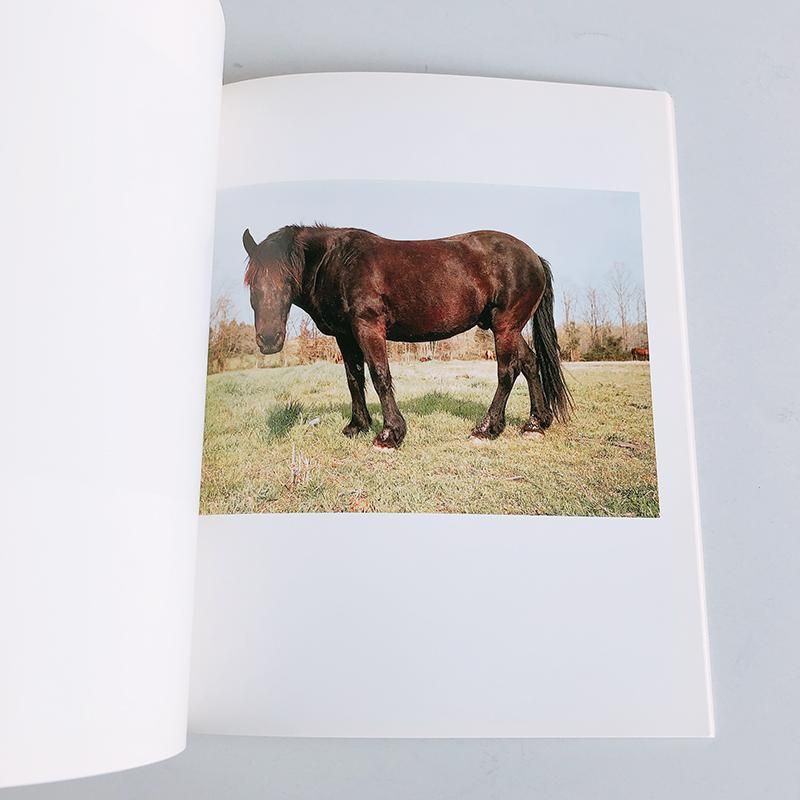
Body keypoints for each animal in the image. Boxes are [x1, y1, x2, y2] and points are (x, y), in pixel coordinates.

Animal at [243, 224, 573, 449]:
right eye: (252, 283)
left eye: (287, 279)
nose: (268, 340)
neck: (338, 263)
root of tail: (533, 256)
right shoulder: (346, 336)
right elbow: (354, 378)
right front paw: (357, 425)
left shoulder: (368, 327)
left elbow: (379, 375)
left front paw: (390, 434)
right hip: (510, 328)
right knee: (530, 363)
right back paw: (535, 423)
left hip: (505, 326)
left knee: (508, 371)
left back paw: (487, 428)